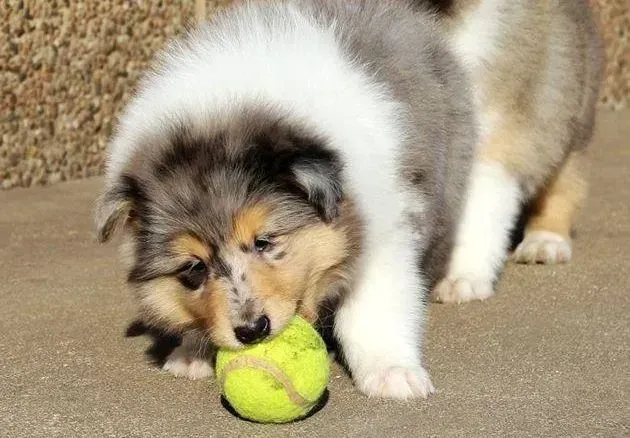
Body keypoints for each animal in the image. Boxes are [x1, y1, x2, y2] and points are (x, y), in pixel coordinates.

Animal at [96, 0, 476, 400]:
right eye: (194, 268)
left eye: (264, 242)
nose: (251, 331)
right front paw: (191, 354)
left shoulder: (386, 228)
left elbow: (371, 310)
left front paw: (392, 374)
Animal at [424, 0, 608, 302]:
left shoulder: (492, 141)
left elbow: (476, 216)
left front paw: (461, 280)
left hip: (569, 134)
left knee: (561, 194)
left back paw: (544, 244)